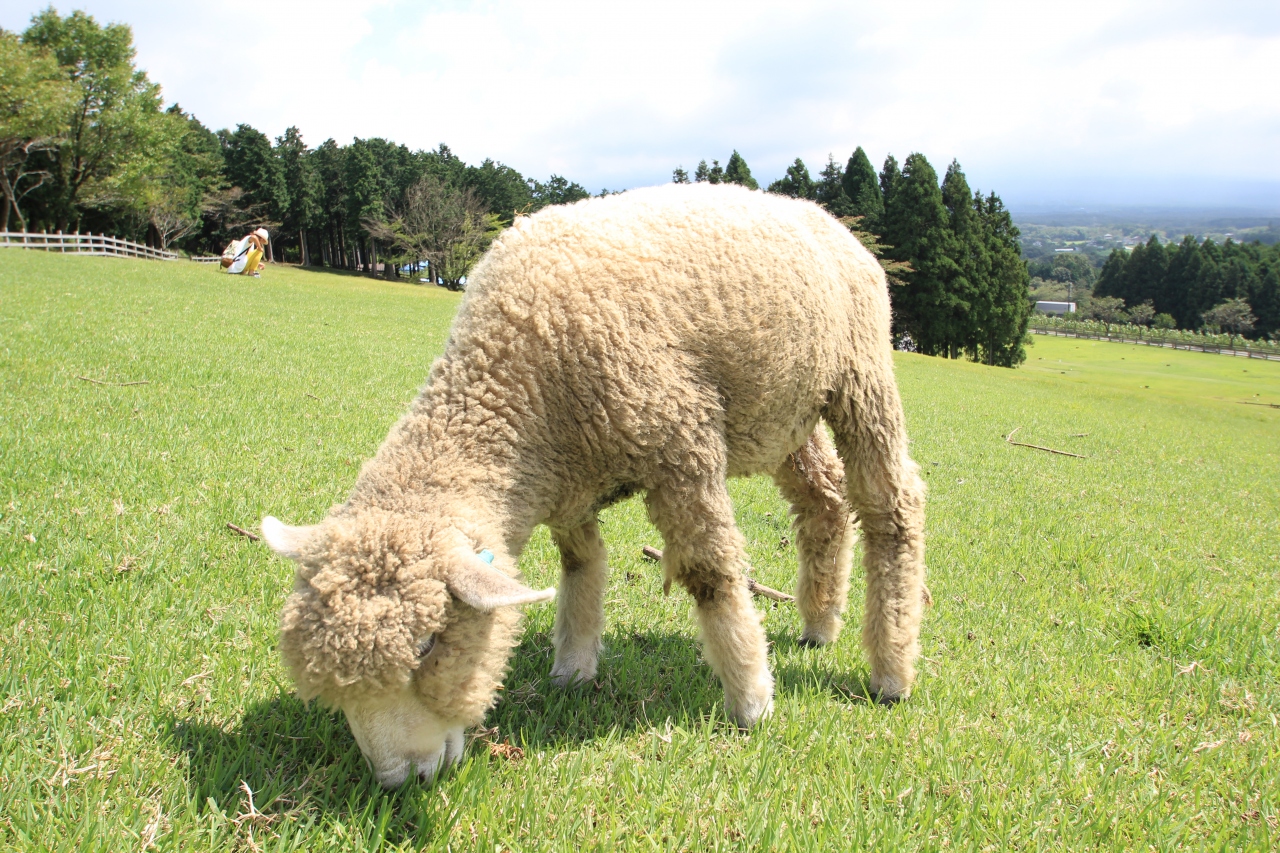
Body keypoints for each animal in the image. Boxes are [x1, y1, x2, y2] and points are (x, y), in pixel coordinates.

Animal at [259, 183, 926, 788]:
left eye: (426, 645)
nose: (397, 782)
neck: (519, 384)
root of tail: (826, 218)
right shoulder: (569, 482)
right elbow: (581, 567)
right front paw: (572, 669)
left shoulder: (680, 442)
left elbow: (712, 573)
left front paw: (752, 700)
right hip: (786, 413)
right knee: (825, 504)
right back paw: (820, 623)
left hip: (860, 373)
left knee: (893, 506)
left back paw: (891, 671)